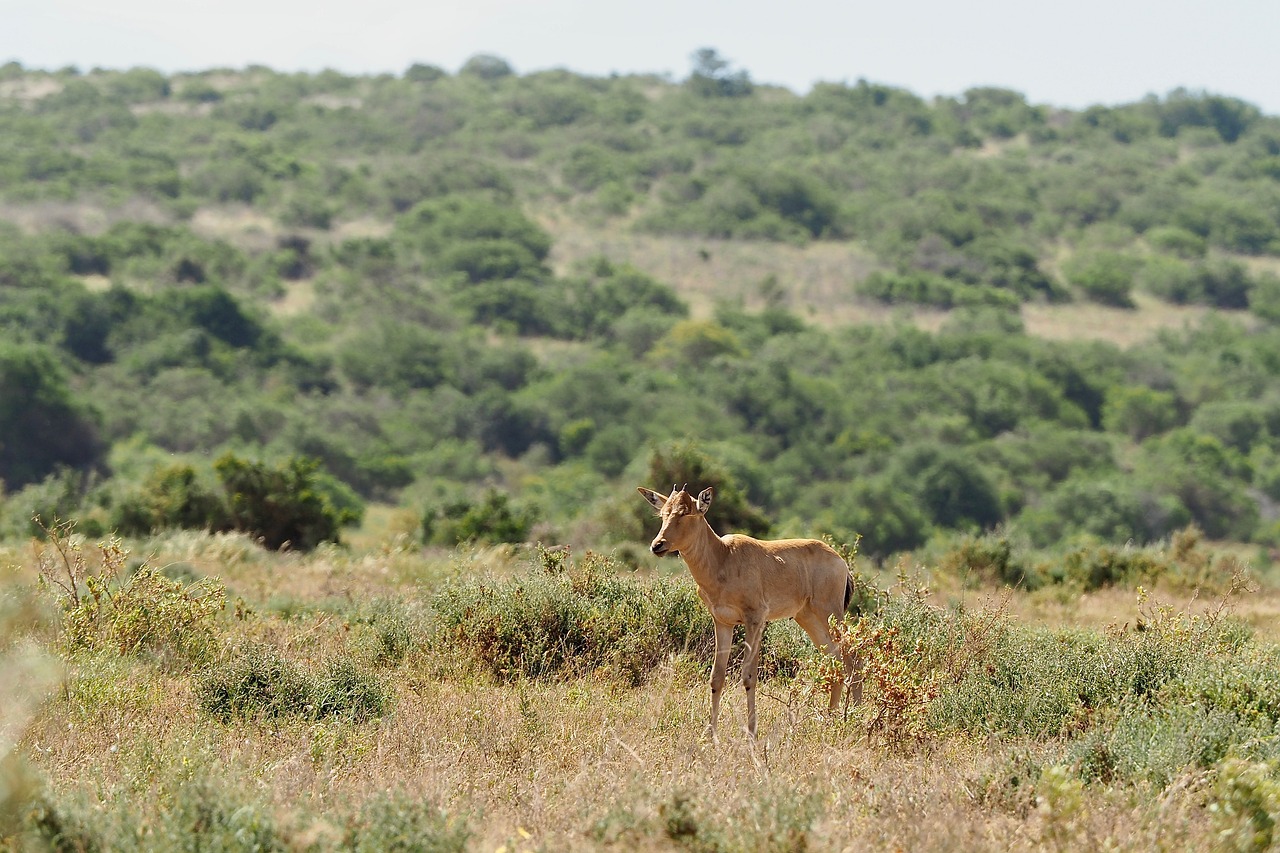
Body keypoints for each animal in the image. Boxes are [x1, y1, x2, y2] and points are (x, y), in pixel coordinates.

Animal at [637, 484, 865, 737]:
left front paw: (752, 732)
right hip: (807, 618)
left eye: (686, 513)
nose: (657, 545)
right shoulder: (722, 622)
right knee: (835, 661)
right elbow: (716, 676)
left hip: (830, 614)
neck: (724, 556)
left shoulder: (755, 619)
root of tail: (841, 562)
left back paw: (854, 719)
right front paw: (710, 733)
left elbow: (748, 676)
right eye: (663, 514)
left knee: (853, 659)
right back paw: (830, 719)